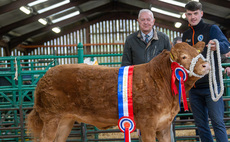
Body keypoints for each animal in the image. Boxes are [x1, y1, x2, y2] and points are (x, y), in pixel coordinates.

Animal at [26, 41, 210, 141]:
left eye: (198, 53)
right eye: (184, 56)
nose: (206, 64)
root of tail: (45, 76)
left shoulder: (164, 124)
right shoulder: (147, 123)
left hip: (66, 121)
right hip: (51, 117)